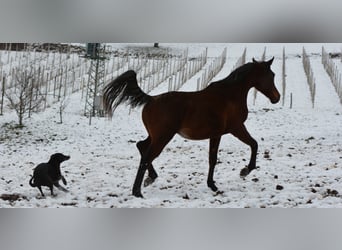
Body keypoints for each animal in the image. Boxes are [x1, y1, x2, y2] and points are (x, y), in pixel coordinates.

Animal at [103, 57, 280, 198]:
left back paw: (150, 178)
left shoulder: (216, 134)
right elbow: (254, 144)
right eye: (271, 75)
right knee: (146, 157)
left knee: (141, 146)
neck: (230, 96)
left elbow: (212, 159)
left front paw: (212, 185)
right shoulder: (236, 128)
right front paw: (246, 171)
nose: (277, 98)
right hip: (162, 137)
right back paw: (137, 192)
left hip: (155, 136)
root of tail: (151, 99)